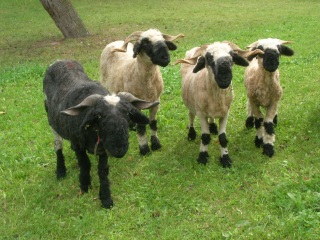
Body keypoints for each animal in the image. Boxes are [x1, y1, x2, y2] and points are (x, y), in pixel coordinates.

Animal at [43, 59, 159, 208]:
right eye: (98, 116)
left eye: (128, 113)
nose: (119, 149)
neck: (93, 132)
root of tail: (60, 61)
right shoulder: (78, 144)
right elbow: (85, 164)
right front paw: (84, 186)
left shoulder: (103, 148)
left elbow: (103, 171)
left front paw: (106, 198)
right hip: (51, 121)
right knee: (58, 144)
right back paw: (60, 171)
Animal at [100, 28, 185, 156]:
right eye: (145, 43)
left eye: (163, 40)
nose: (165, 57)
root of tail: (113, 42)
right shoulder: (137, 104)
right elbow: (141, 128)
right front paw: (144, 149)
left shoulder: (156, 102)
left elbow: (153, 124)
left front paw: (156, 145)